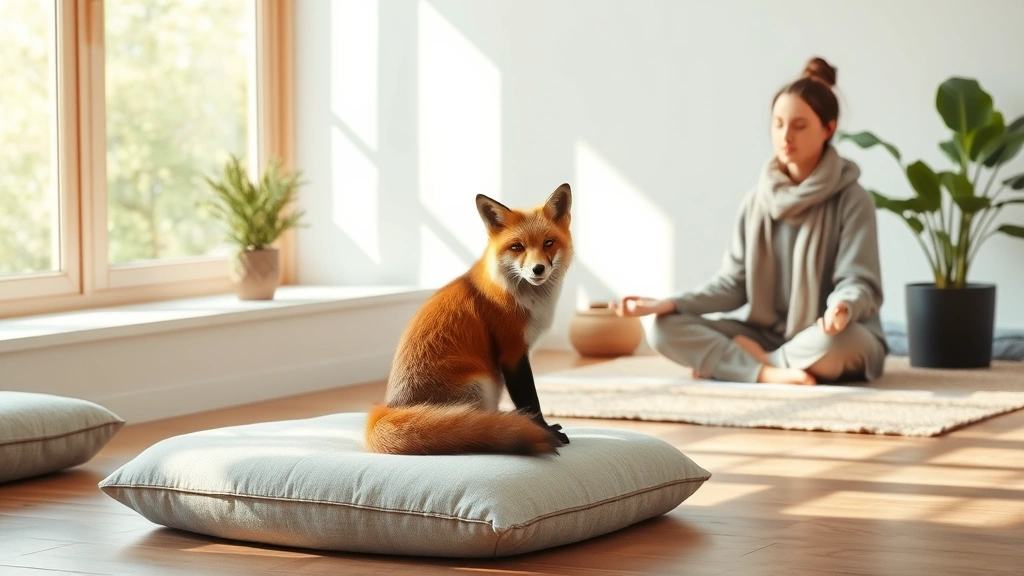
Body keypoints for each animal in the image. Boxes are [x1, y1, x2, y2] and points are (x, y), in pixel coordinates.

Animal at [364, 184, 574, 456]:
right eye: (517, 247)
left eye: (548, 243)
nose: (538, 269)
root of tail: (389, 407)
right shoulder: (512, 352)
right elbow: (531, 401)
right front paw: (545, 430)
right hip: (483, 384)